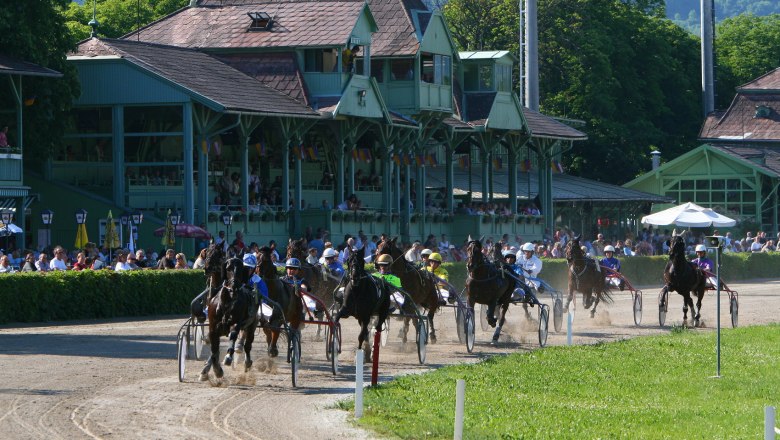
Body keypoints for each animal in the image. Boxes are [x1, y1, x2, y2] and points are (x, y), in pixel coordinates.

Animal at [198, 254, 256, 382]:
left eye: (240, 269)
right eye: (228, 268)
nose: (234, 286)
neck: (226, 303)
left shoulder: (236, 323)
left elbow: (233, 336)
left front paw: (228, 357)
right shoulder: (213, 328)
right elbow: (214, 351)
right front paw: (216, 370)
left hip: (252, 325)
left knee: (247, 345)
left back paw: (247, 361)